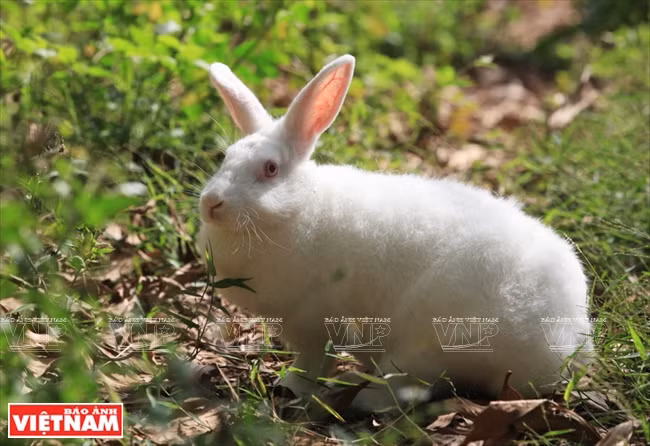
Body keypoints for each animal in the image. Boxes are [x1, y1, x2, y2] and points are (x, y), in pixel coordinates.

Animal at [198, 55, 594, 411]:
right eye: (225, 157)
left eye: (270, 169)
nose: (211, 203)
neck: (296, 211)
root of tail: (564, 346)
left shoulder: (314, 322)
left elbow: (313, 363)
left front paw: (290, 387)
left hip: (431, 338)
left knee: (408, 388)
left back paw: (360, 396)